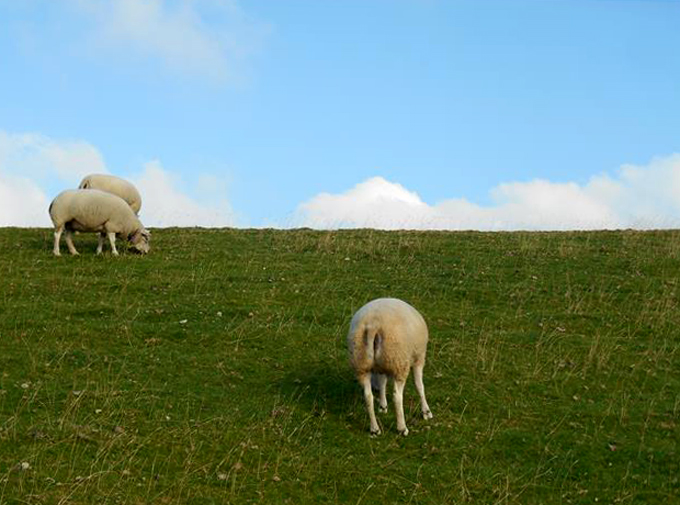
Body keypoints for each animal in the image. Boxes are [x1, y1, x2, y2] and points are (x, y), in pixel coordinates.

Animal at [348, 298, 432, 436]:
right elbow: (419, 386)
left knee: (368, 396)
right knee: (397, 397)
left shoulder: (381, 368)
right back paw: (402, 428)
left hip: (361, 362)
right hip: (399, 361)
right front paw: (426, 411)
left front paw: (383, 406)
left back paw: (374, 429)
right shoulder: (419, 358)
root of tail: (373, 324)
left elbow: (382, 383)